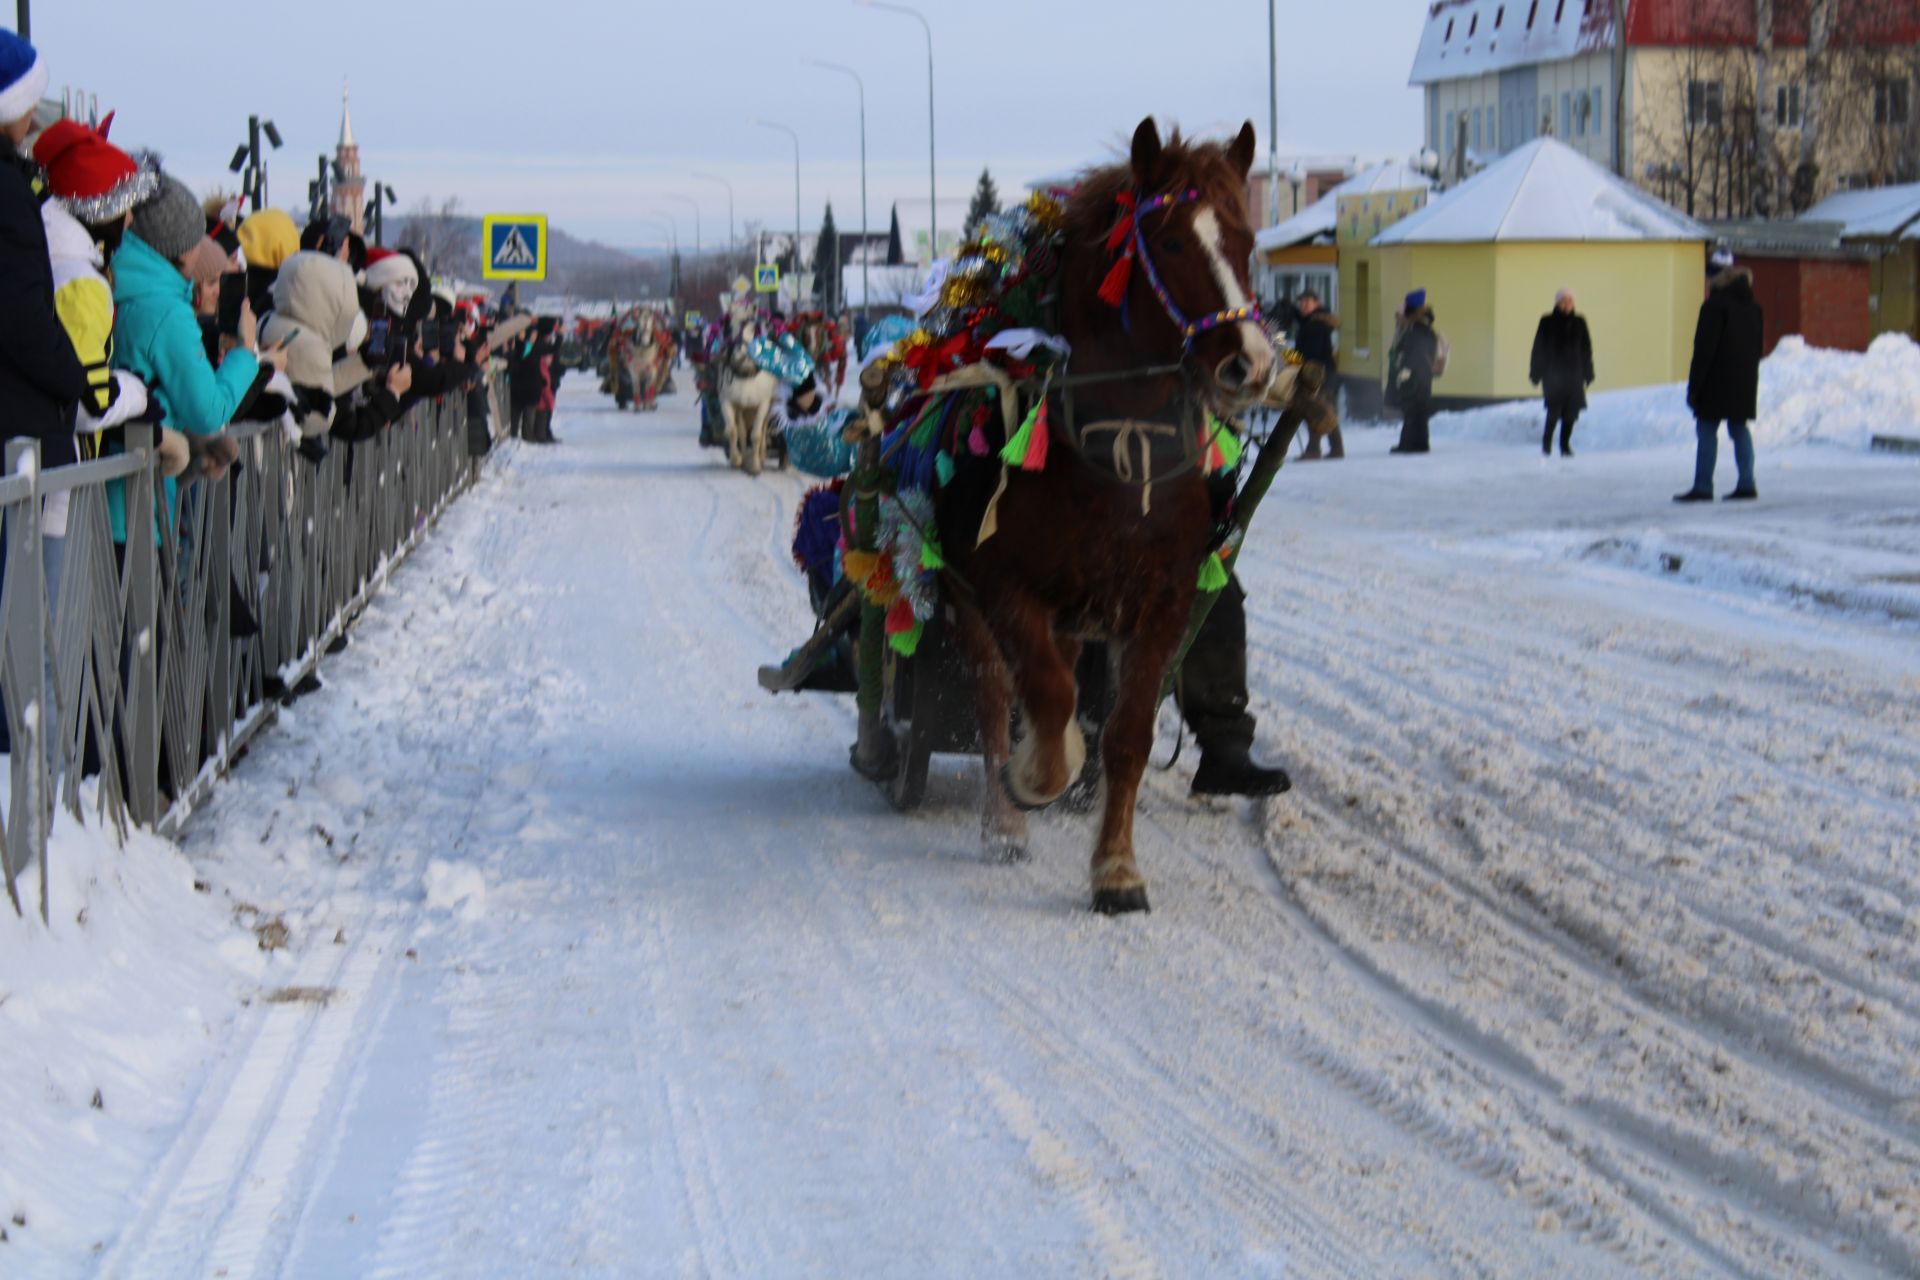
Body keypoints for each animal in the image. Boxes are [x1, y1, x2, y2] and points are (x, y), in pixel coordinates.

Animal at [933, 117, 1274, 909]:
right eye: (1172, 242)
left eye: (1246, 240)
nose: (1250, 362)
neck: (1120, 455)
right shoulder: (1003, 587)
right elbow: (1046, 698)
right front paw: (1038, 776)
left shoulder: (1164, 600)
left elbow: (1127, 735)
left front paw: (1116, 867)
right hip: (965, 597)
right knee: (996, 699)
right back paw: (1005, 821)